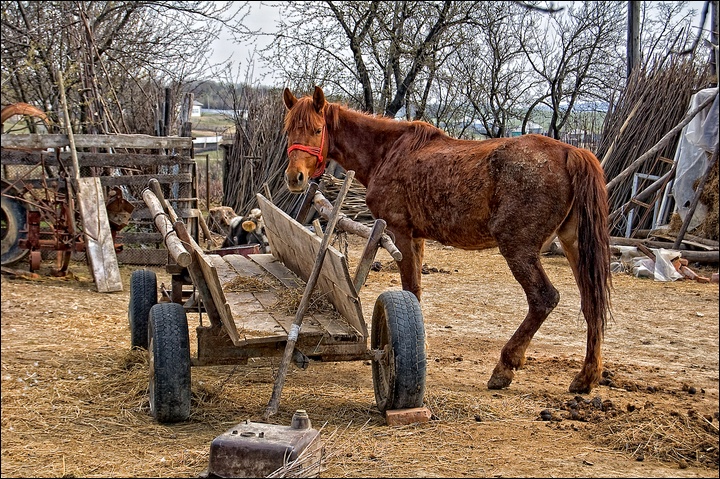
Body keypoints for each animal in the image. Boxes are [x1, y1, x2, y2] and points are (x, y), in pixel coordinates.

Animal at [284, 85, 612, 394]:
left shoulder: (400, 233)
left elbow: (410, 287)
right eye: (288, 130)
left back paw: (505, 367)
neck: (387, 152)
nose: (294, 177)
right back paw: (586, 376)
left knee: (544, 299)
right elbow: (416, 288)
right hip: (573, 246)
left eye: (317, 129)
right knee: (591, 304)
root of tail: (570, 153)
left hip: (518, 249)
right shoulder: (416, 238)